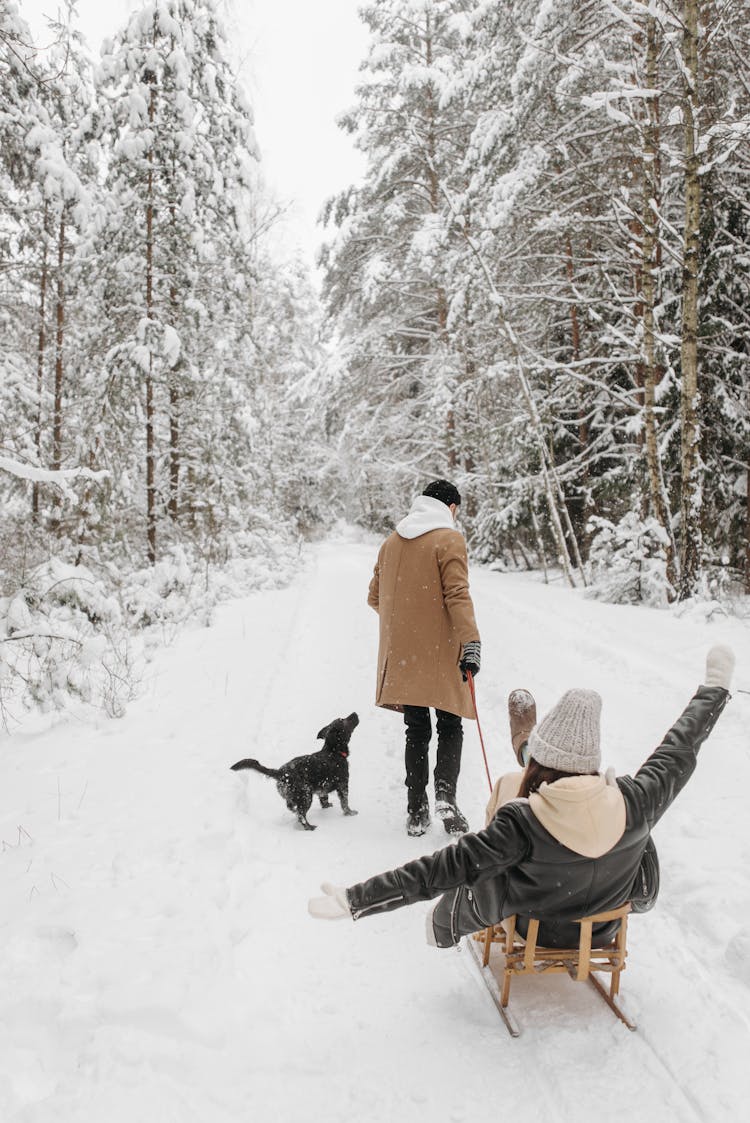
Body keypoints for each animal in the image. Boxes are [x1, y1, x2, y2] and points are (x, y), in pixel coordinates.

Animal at [230, 714, 359, 831]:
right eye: (343, 719)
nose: (355, 713)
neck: (333, 751)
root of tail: (281, 773)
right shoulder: (343, 784)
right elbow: (345, 802)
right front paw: (350, 813)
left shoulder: (322, 788)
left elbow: (324, 799)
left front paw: (327, 807)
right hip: (305, 795)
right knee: (301, 815)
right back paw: (309, 827)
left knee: (291, 807)